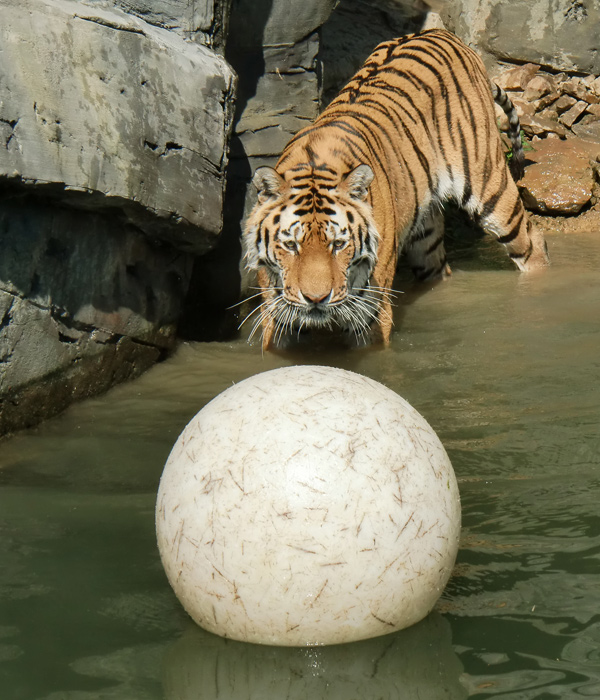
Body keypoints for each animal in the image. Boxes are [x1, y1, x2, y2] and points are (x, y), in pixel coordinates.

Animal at [243, 28, 548, 350]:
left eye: (338, 244)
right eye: (291, 245)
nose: (316, 299)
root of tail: (443, 32)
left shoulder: (371, 313)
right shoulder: (277, 312)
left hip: (490, 186)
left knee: (533, 242)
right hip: (425, 235)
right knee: (439, 267)